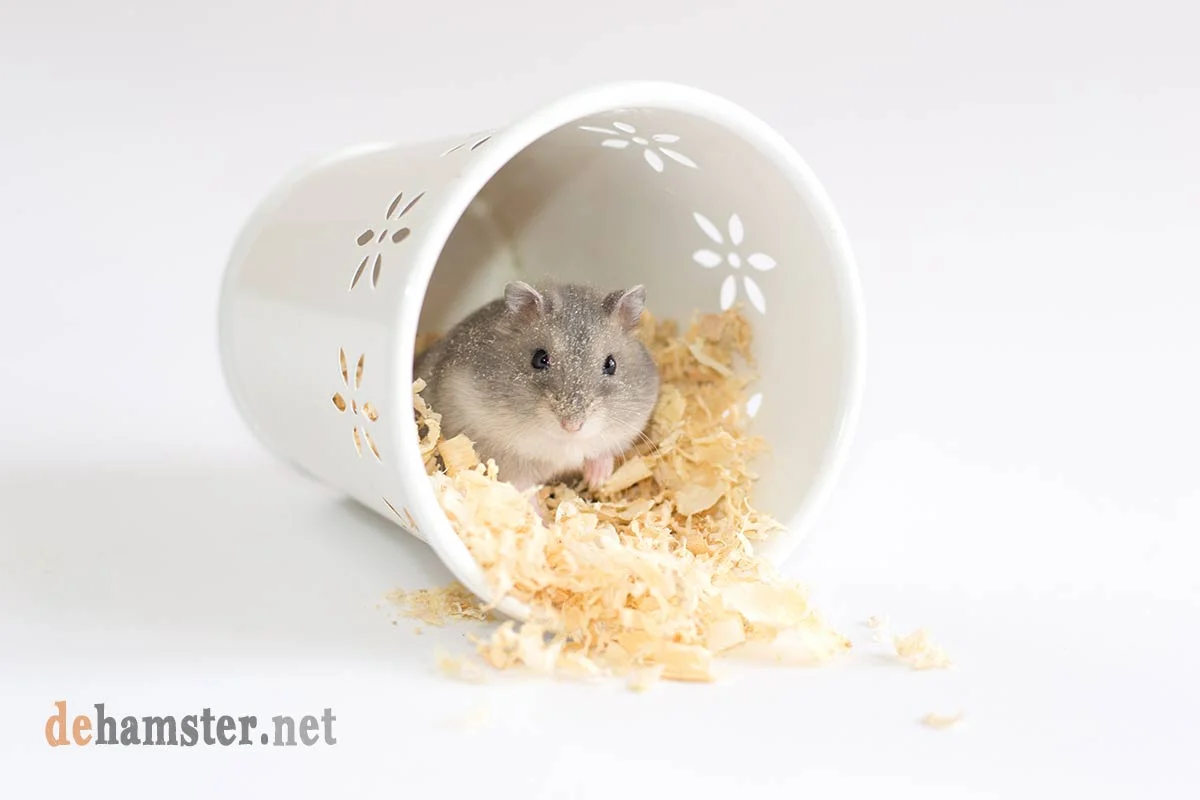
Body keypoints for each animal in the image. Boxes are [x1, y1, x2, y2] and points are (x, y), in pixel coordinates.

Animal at [414, 280, 660, 493]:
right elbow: (524, 491)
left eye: (611, 364)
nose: (572, 426)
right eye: (540, 359)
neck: (566, 443)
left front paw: (598, 480)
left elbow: (601, 453)